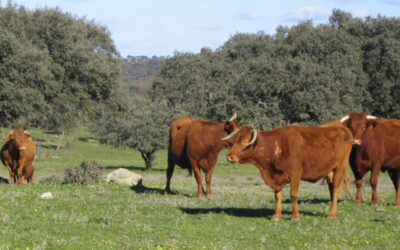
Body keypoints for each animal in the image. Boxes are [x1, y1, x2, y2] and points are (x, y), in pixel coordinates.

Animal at [223, 123, 352, 221]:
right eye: (235, 140)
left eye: (245, 141)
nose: (229, 157)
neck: (276, 145)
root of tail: (341, 127)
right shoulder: (277, 178)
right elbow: (277, 196)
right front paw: (276, 215)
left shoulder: (295, 174)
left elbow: (293, 195)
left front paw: (295, 216)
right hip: (330, 171)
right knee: (332, 189)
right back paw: (334, 212)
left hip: (340, 167)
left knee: (336, 188)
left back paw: (331, 214)